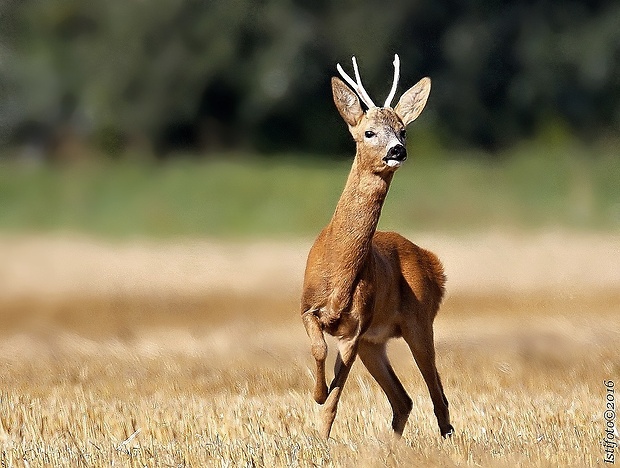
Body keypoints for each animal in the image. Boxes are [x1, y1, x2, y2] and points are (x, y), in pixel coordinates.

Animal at [302, 54, 456, 438]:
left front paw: (320, 429)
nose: (397, 150)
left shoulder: (355, 331)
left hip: (419, 322)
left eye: (403, 130)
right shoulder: (307, 307)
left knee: (438, 397)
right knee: (404, 400)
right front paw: (317, 393)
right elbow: (318, 348)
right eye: (368, 132)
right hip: (377, 343)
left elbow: (334, 402)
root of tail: (431, 261)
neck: (338, 275)